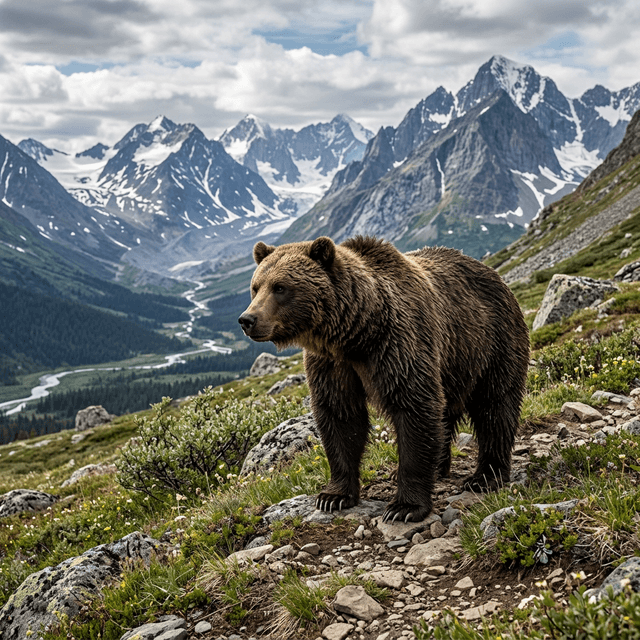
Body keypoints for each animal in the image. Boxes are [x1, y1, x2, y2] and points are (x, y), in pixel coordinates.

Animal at [239, 236, 529, 523]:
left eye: (280, 287)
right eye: (256, 287)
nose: (247, 319)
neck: (356, 333)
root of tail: (494, 274)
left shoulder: (397, 344)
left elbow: (414, 406)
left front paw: (405, 506)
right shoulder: (331, 364)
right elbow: (339, 416)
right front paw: (333, 496)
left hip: (490, 342)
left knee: (495, 406)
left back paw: (485, 476)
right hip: (454, 364)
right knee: (448, 413)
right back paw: (438, 467)